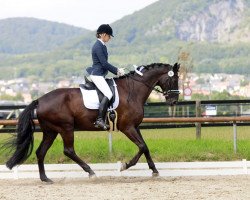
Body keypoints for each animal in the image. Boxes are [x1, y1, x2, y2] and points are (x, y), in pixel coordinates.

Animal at [2, 63, 179, 183]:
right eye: (174, 79)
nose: (174, 101)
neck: (133, 90)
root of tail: (39, 100)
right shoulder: (127, 127)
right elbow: (141, 146)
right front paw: (124, 166)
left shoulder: (135, 126)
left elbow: (145, 147)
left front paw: (154, 170)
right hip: (66, 128)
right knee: (68, 151)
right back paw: (91, 172)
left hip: (51, 131)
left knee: (41, 152)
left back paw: (45, 178)